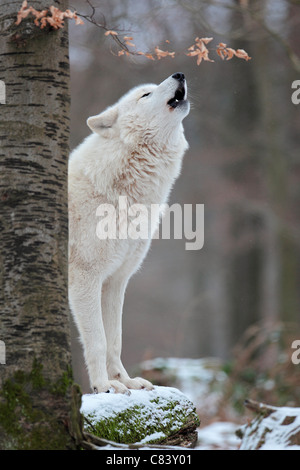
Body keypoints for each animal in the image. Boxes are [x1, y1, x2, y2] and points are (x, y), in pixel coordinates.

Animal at [69, 72, 189, 392]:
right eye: (145, 95)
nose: (180, 73)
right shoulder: (85, 279)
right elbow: (98, 340)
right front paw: (103, 387)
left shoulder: (115, 281)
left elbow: (115, 340)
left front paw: (126, 381)